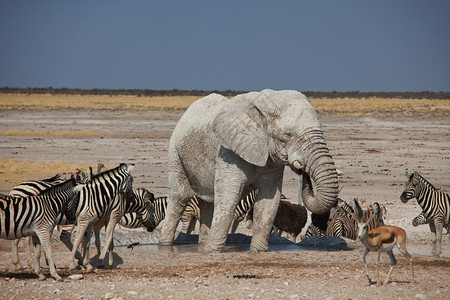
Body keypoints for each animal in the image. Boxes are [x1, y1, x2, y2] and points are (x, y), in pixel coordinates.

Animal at [160, 88, 340, 252]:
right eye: (287, 135)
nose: (303, 170)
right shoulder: (228, 150)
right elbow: (228, 198)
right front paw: (214, 252)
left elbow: (269, 201)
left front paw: (258, 251)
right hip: (175, 152)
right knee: (179, 198)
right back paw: (166, 246)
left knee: (207, 203)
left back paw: (202, 247)